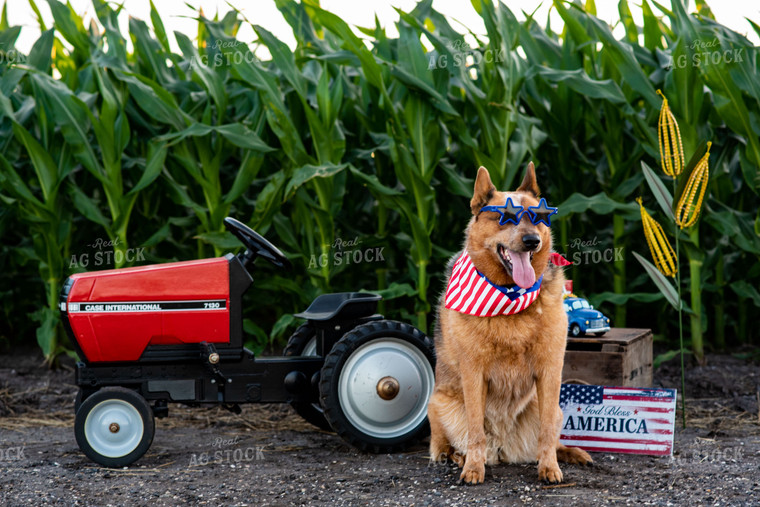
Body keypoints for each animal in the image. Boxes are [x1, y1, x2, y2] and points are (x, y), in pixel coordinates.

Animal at [428, 163, 592, 484]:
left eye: (539, 218)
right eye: (505, 217)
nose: (532, 241)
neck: (510, 296)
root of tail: (504, 447)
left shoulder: (550, 372)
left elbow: (545, 433)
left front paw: (550, 467)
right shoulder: (474, 374)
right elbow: (475, 431)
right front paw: (473, 468)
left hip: (554, 409)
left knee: (551, 435)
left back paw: (569, 453)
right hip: (438, 402)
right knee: (447, 441)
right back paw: (458, 456)